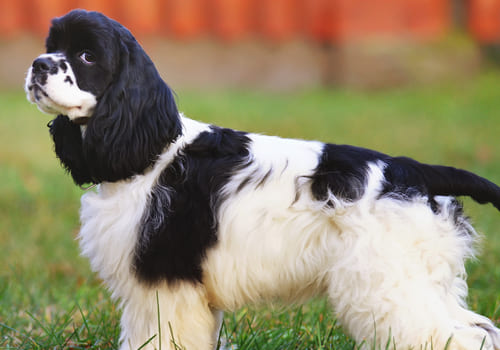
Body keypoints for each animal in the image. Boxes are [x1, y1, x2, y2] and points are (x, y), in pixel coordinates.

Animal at [25, 8, 500, 350]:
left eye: (87, 55)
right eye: (52, 46)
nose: (38, 65)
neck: (152, 151)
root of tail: (412, 170)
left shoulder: (163, 285)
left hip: (389, 287)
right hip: (419, 283)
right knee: (481, 330)